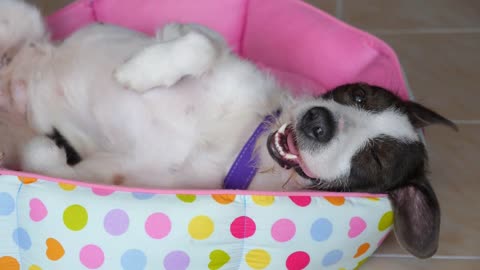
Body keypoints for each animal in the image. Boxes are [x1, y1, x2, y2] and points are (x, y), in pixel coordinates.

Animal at [0, 0, 458, 258]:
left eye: (376, 159)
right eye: (360, 95)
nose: (318, 121)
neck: (243, 143)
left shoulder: (119, 174)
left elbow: (45, 163)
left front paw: (42, 148)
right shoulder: (191, 34)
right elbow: (199, 46)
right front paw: (139, 72)